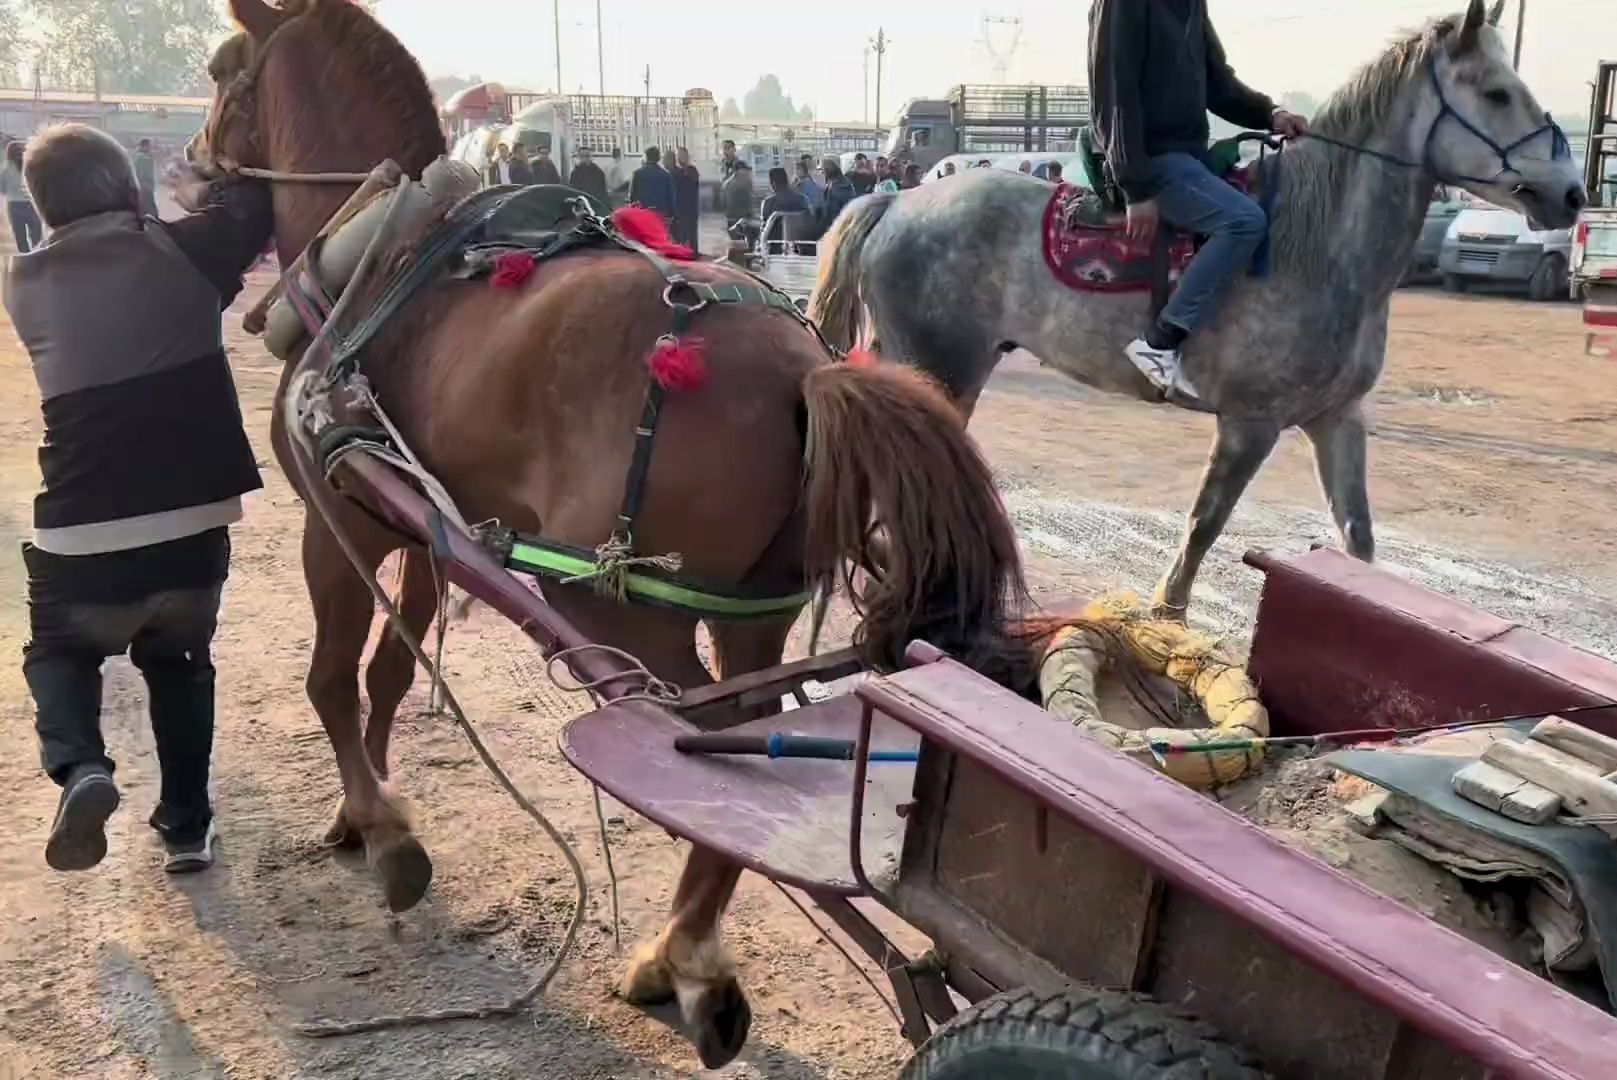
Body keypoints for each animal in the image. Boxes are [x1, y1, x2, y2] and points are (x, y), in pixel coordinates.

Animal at [189, 0, 1021, 1060]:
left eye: (222, 69)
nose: (192, 159)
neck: (380, 253)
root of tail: (808, 369)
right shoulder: (417, 521)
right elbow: (391, 674)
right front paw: (361, 801)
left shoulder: (337, 516)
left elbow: (332, 679)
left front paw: (382, 828)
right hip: (749, 609)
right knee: (743, 728)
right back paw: (691, 952)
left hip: (620, 610)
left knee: (689, 739)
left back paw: (681, 956)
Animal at [808, 2, 1578, 614]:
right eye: (1496, 93)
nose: (1570, 193)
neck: (1318, 246)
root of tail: (897, 202)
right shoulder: (1250, 423)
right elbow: (1205, 523)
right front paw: (1168, 616)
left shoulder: (1338, 418)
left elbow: (1357, 538)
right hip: (941, 371)